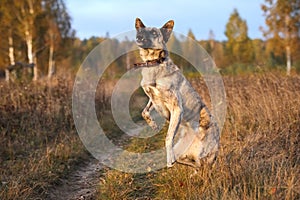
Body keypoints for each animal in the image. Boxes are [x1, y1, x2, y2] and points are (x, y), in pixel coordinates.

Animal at [135, 18, 219, 168]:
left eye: (154, 32)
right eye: (141, 30)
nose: (139, 36)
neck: (154, 64)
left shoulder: (177, 107)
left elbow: (168, 137)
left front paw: (169, 158)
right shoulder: (152, 98)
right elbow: (144, 112)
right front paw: (153, 125)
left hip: (204, 155)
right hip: (183, 153)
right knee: (192, 163)